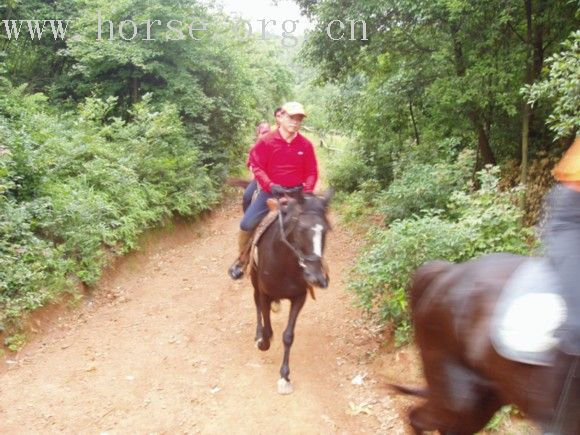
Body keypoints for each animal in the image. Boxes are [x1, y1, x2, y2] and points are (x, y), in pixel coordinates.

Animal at [251, 188, 334, 396]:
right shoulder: (264, 293)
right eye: (301, 229)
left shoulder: (299, 297)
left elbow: (288, 336)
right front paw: (262, 341)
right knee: (256, 305)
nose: (316, 277)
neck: (284, 264)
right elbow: (267, 328)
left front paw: (284, 377)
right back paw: (258, 334)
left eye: (326, 231)